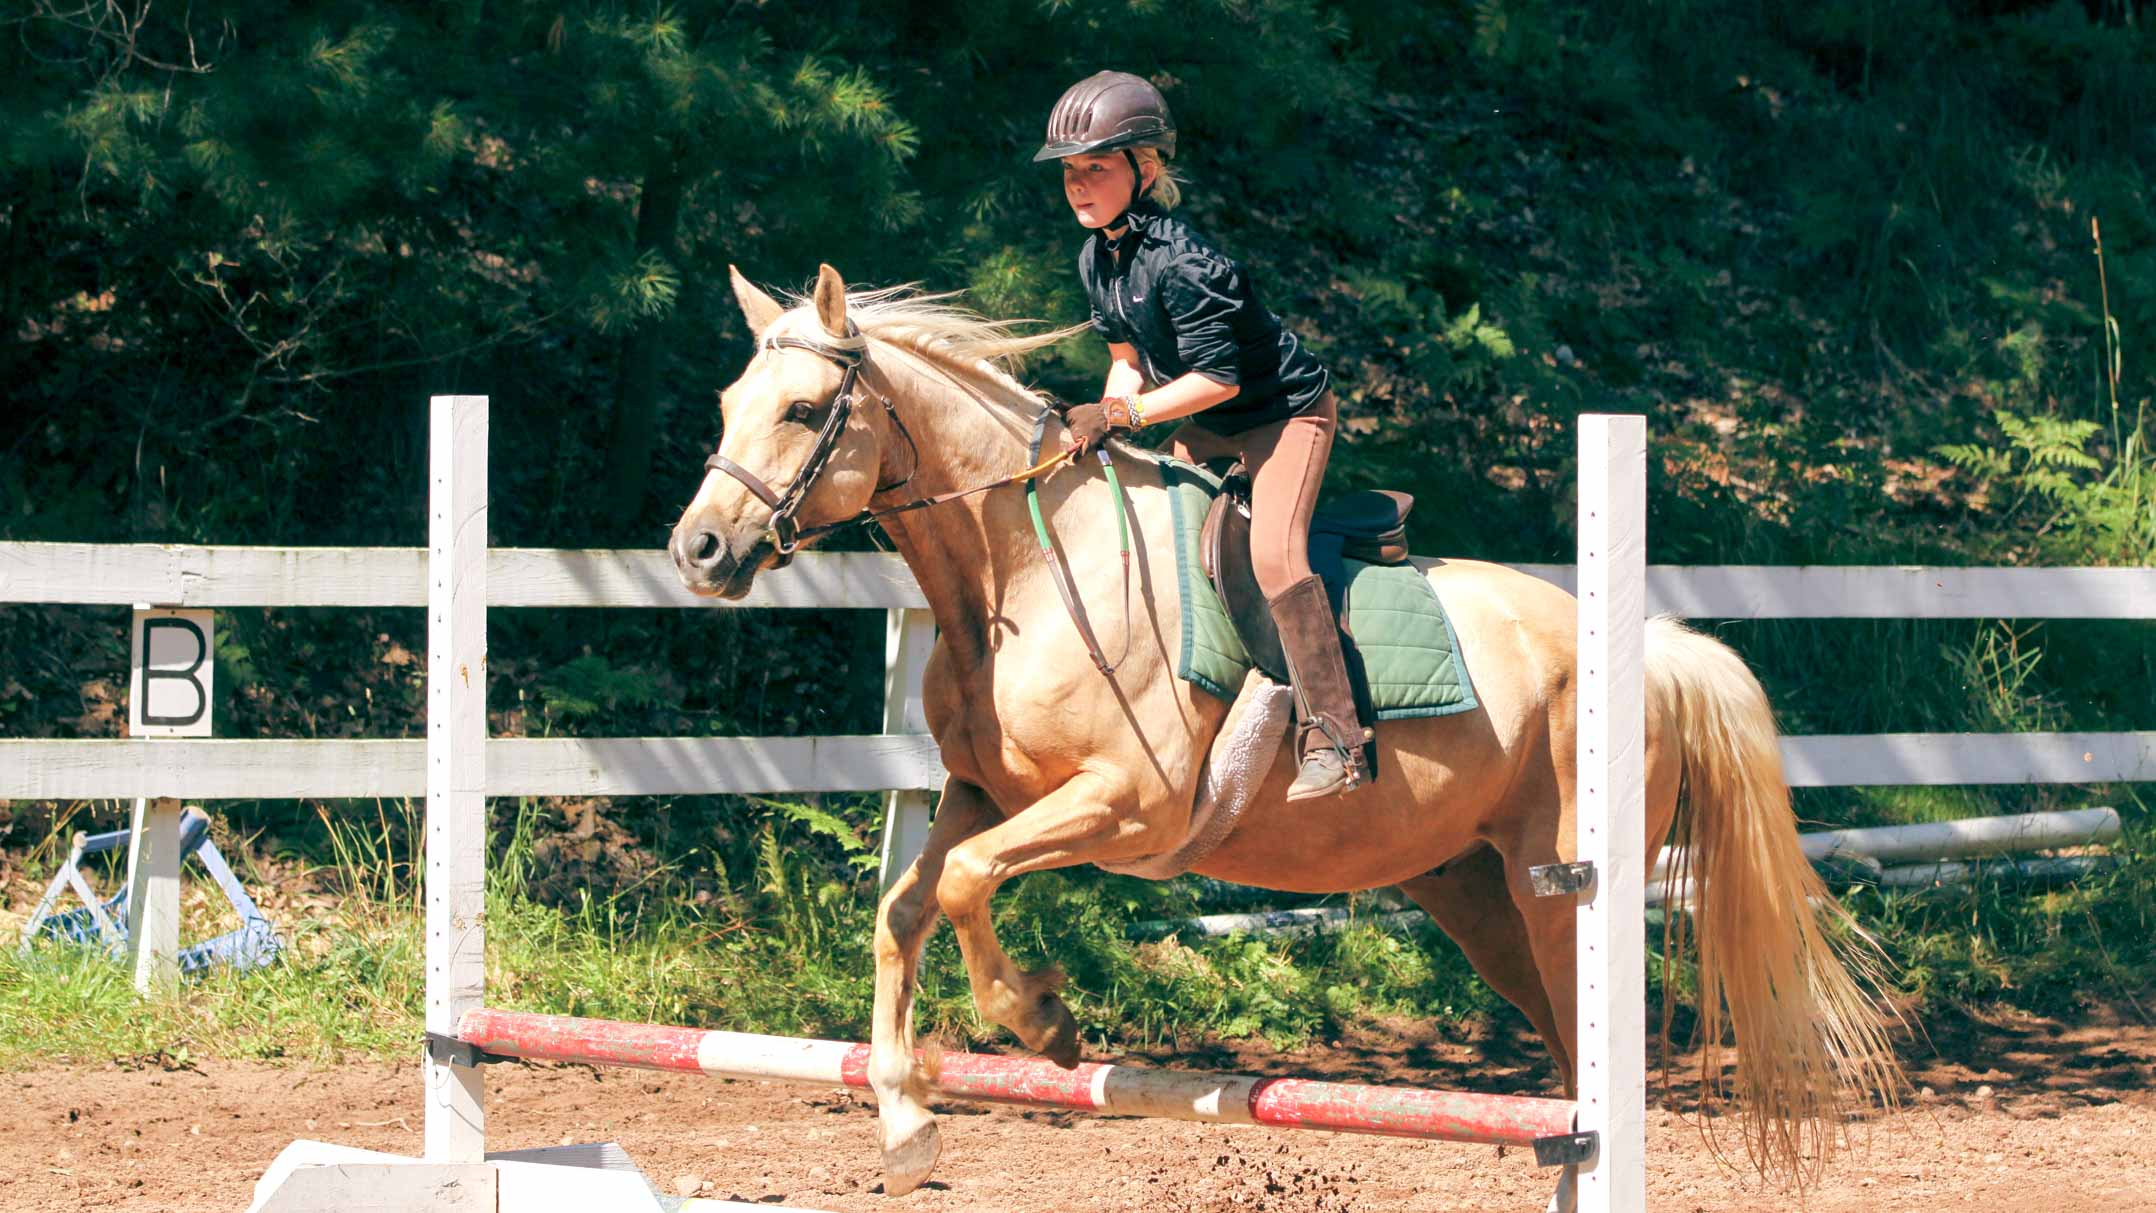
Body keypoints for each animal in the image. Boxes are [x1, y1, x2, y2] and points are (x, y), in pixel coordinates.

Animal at [668, 260, 1905, 1197]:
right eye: (725, 405)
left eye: (801, 410)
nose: (699, 552)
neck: (1023, 567)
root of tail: (1643, 649)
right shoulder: (983, 795)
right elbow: (904, 909)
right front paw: (907, 1126)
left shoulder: (1124, 806)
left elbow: (968, 885)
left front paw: (1045, 1023)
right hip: (1476, 894)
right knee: (1565, 1072)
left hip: (1558, 889)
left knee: (1593, 1056)